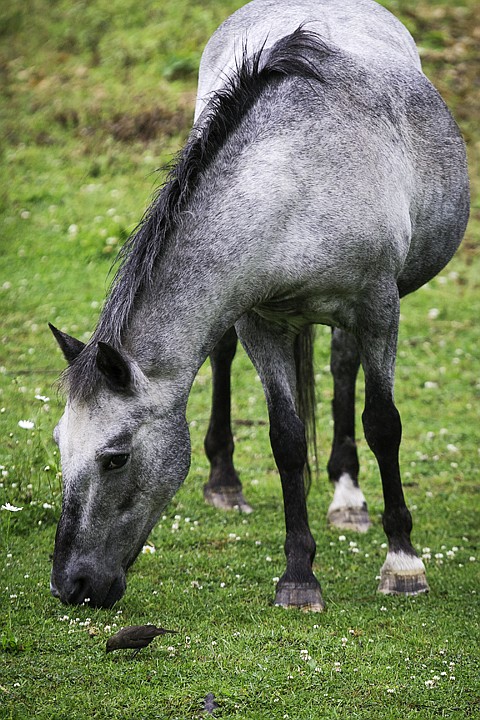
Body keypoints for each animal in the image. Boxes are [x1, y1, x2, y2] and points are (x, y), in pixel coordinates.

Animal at [49, 0, 468, 612]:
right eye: (60, 444)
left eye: (116, 456)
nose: (70, 585)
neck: (293, 186)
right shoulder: (258, 321)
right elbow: (286, 441)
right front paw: (298, 576)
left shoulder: (378, 309)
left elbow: (382, 424)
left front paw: (404, 563)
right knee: (226, 356)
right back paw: (226, 482)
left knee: (345, 370)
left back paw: (348, 497)